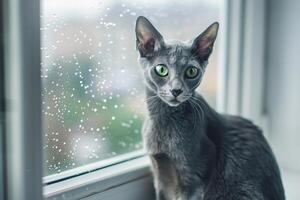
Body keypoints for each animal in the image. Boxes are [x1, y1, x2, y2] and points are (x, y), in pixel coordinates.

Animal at [135, 16, 286, 200]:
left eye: (192, 71)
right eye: (161, 69)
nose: (176, 90)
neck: (163, 121)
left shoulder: (194, 179)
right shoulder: (160, 178)